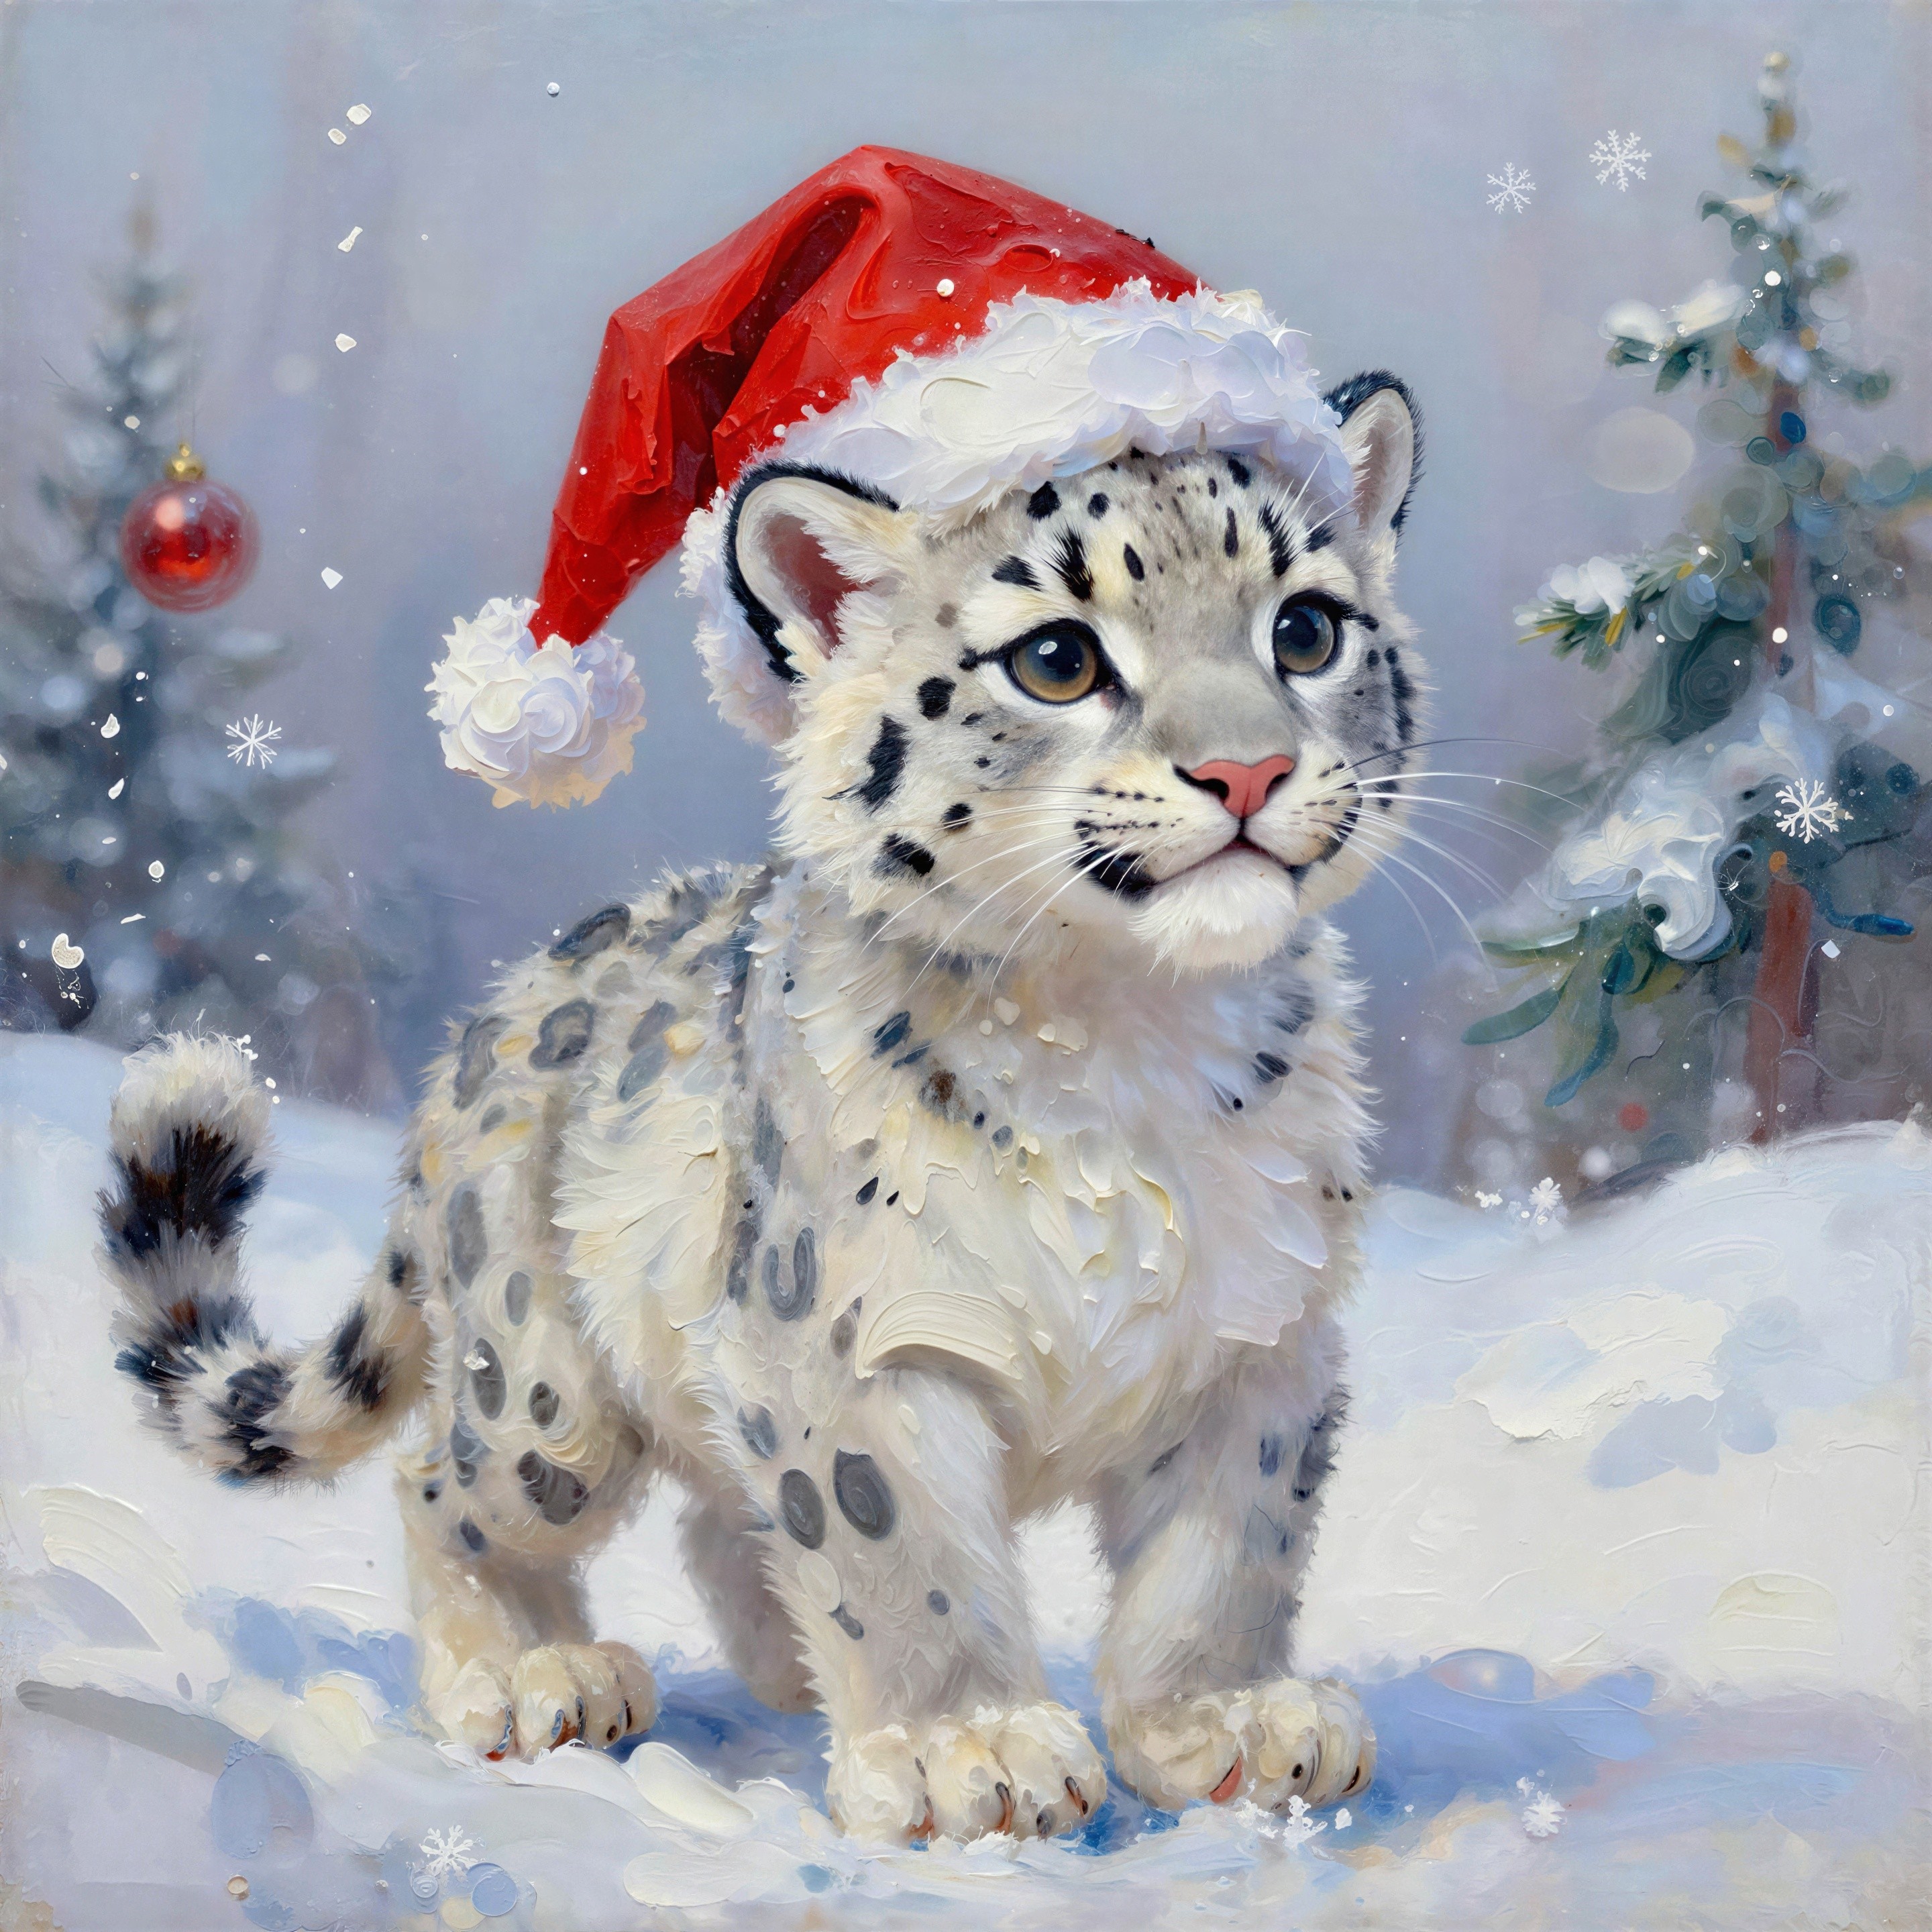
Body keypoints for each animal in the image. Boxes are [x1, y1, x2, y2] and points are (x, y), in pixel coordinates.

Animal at [99, 372, 1422, 1842]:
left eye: (1305, 629)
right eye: (1058, 659)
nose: (1247, 772)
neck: (1131, 1041)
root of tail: (481, 1032)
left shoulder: (1263, 1338)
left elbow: (1229, 1550)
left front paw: (1228, 1724)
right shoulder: (851, 1337)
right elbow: (899, 1548)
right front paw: (970, 1753)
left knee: (716, 1517)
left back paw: (782, 1670)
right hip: (544, 1395)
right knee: (443, 1478)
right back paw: (532, 1673)